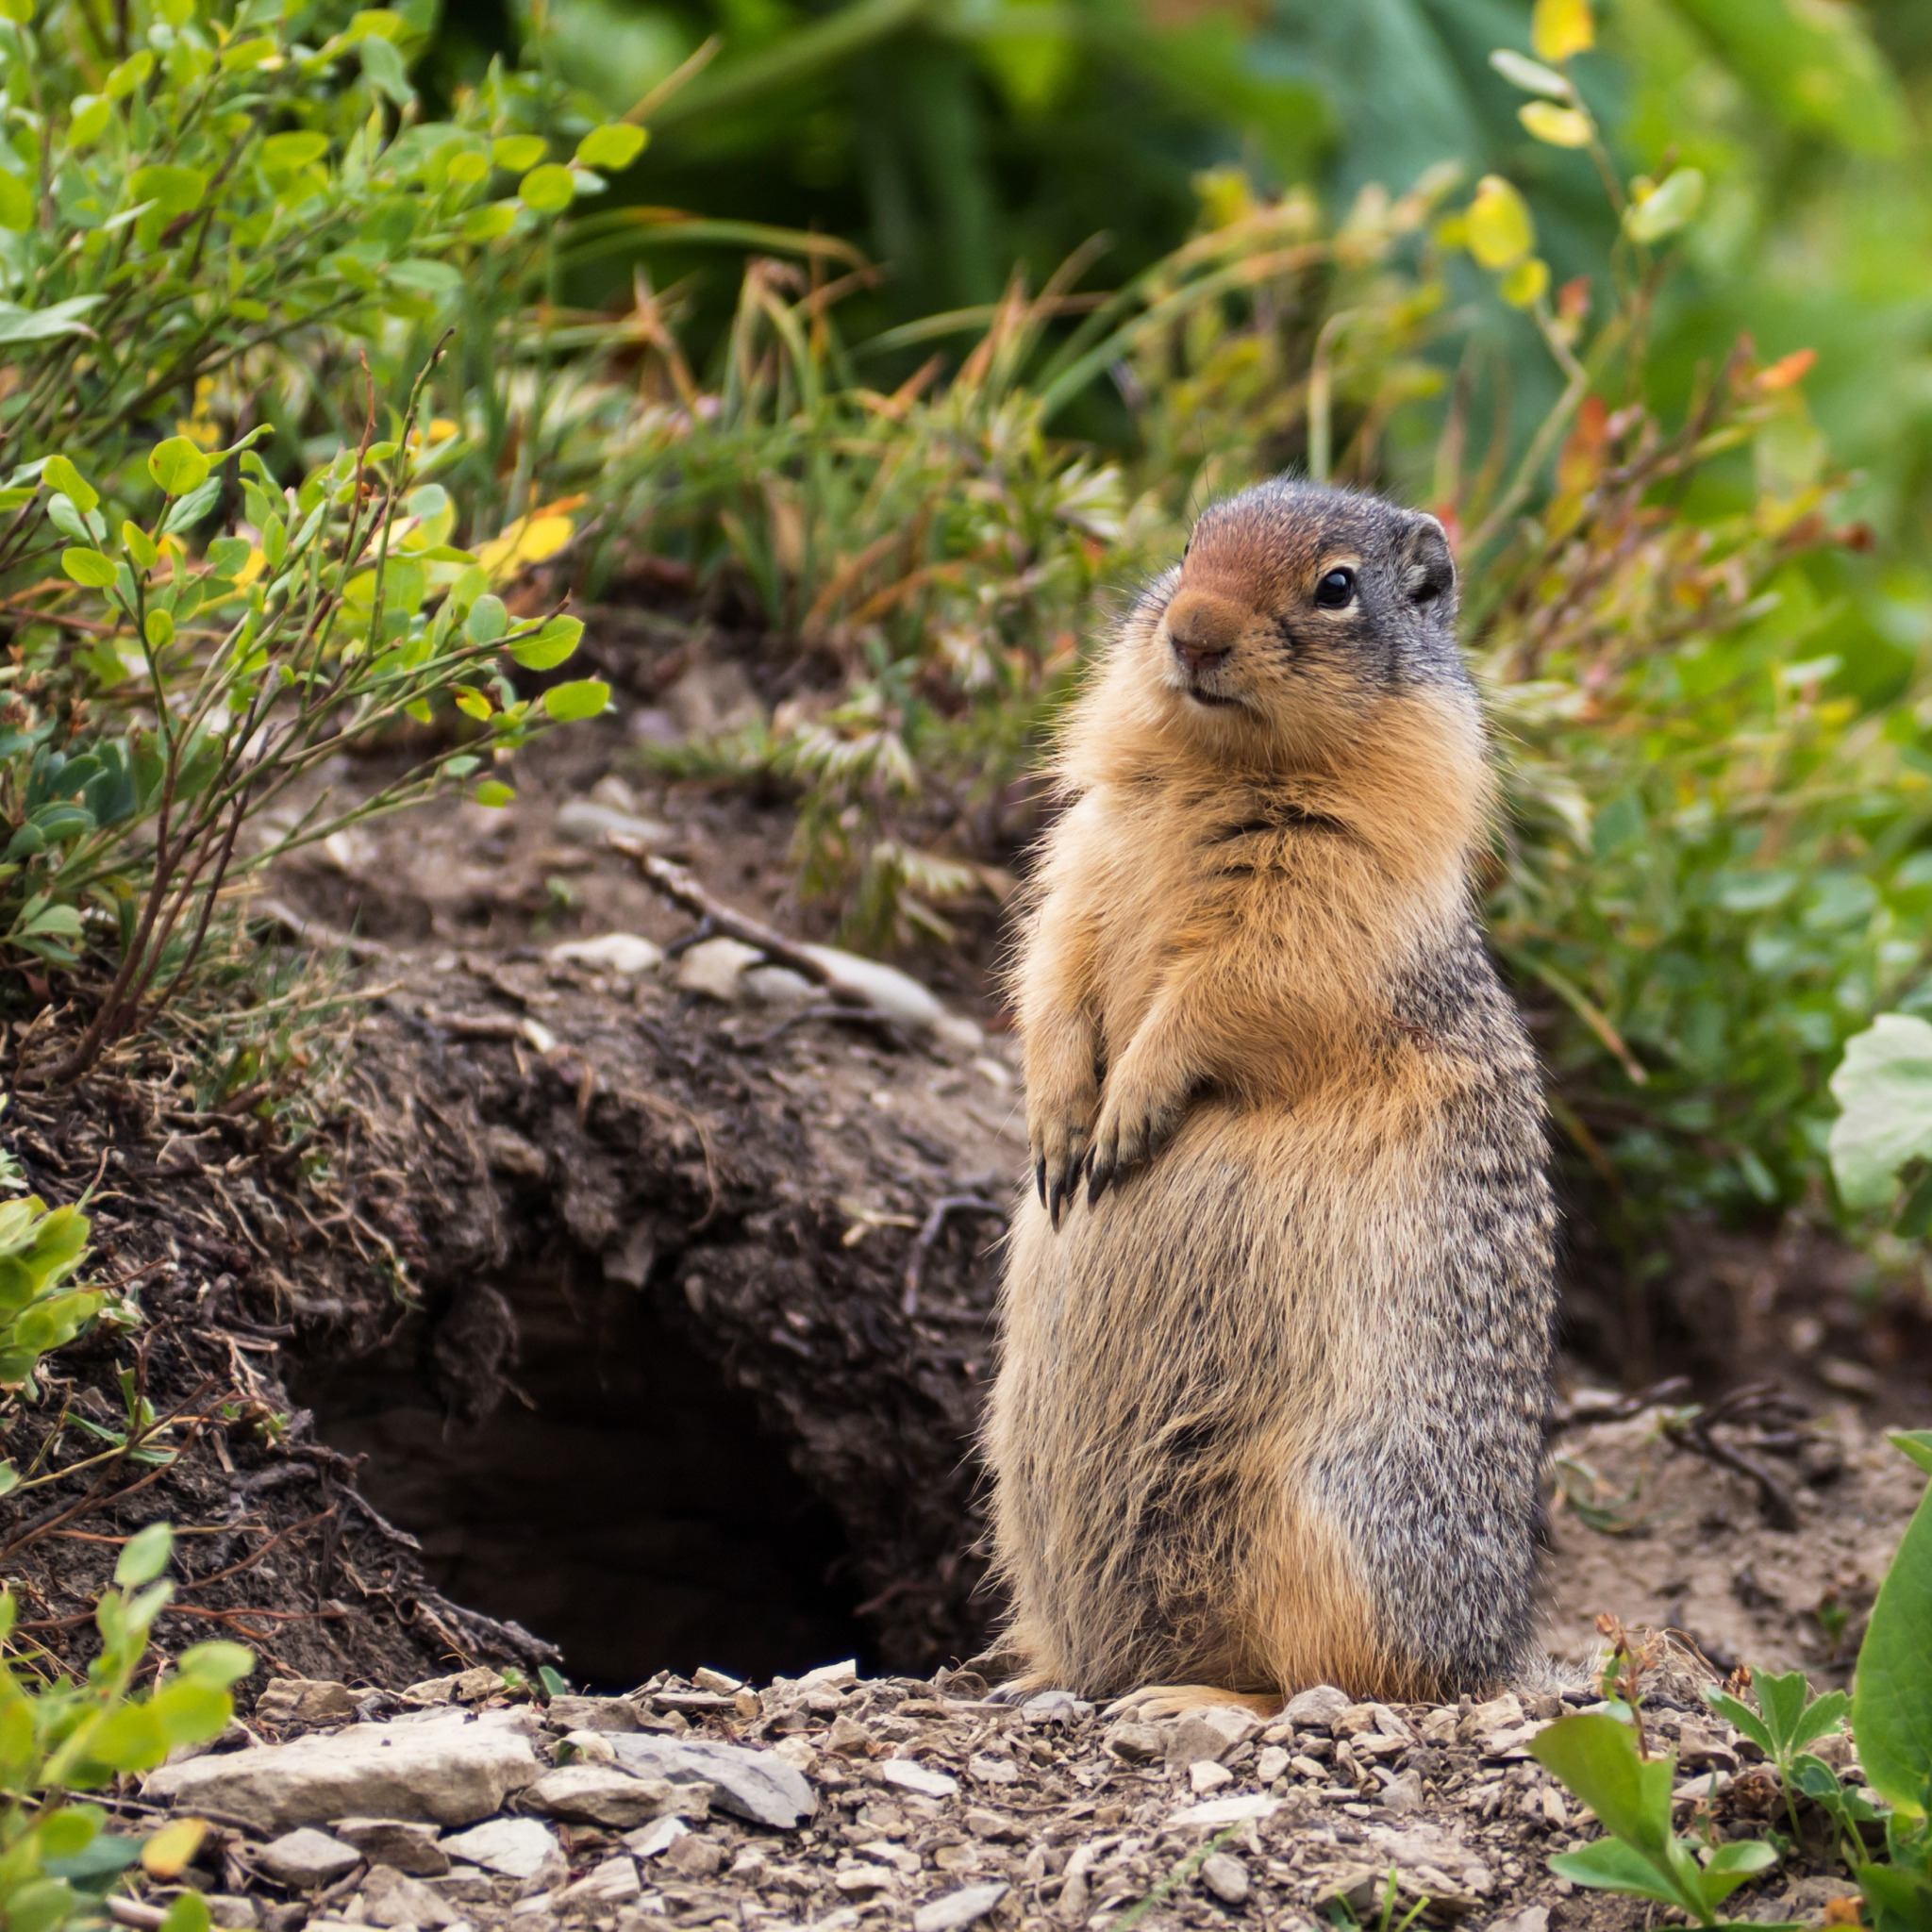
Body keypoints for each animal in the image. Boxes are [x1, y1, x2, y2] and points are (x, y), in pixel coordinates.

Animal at [989, 475, 1560, 1715]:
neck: (1219, 764)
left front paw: (1126, 1112)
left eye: (1335, 585)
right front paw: (1057, 1126)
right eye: (1190, 543)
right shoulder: (1082, 847)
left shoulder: (1333, 894)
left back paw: (1187, 1696)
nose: (1191, 630)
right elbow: (1054, 959)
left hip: (1325, 1525)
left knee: (1334, 1681)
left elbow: (1236, 983)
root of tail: (1491, 1656)